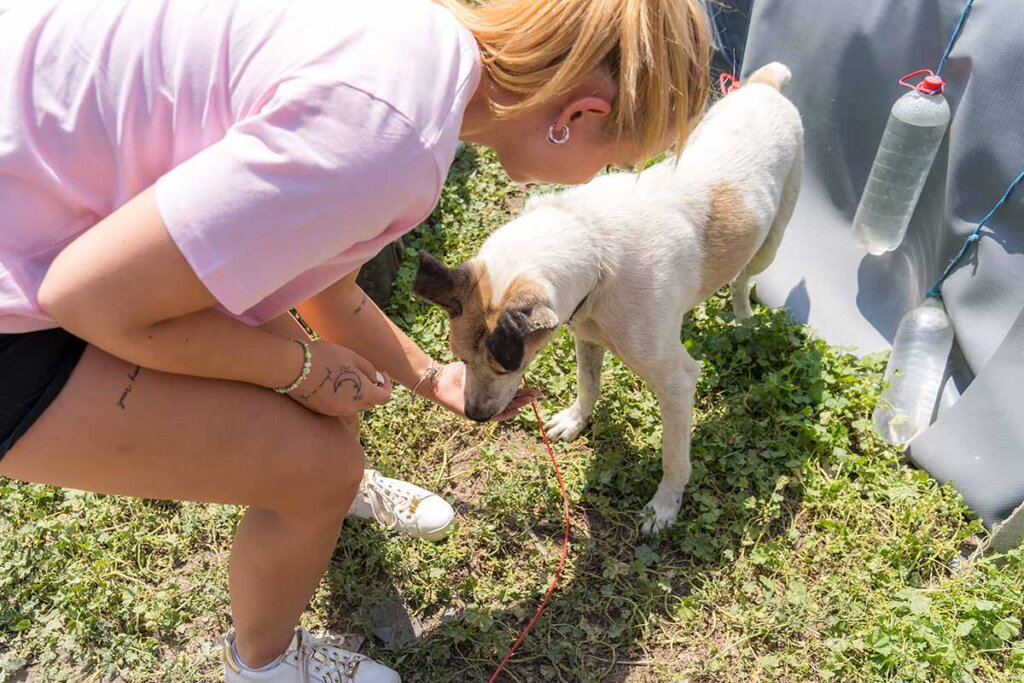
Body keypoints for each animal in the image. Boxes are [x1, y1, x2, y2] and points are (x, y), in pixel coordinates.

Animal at [411, 62, 802, 532]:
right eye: (461, 359)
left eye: (509, 366)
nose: (475, 415)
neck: (594, 247)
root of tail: (766, 85)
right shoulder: (585, 332)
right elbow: (588, 383)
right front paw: (575, 421)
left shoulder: (677, 382)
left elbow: (675, 459)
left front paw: (664, 506)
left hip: (770, 245)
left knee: (743, 282)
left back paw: (743, 319)